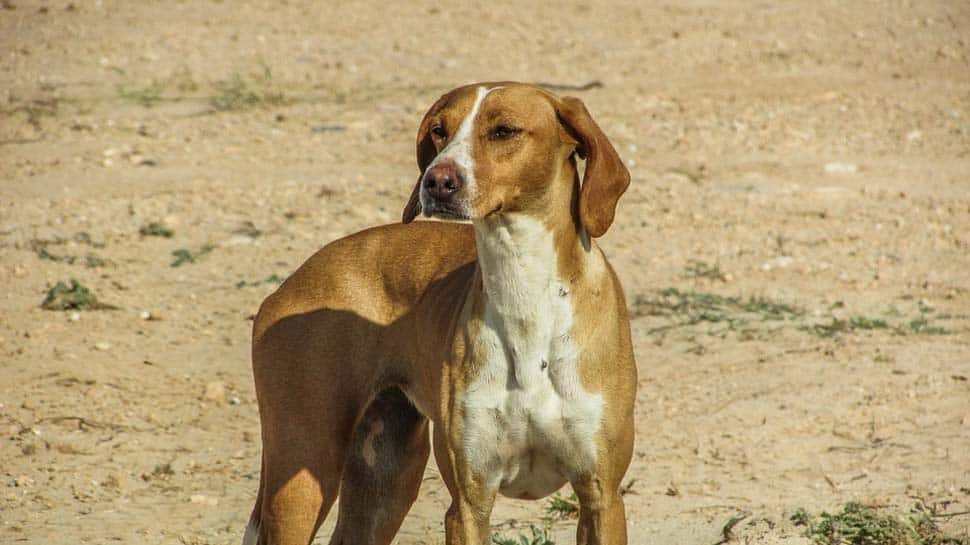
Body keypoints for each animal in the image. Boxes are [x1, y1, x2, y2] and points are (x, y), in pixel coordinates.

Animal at [242, 82, 636, 544]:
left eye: (503, 131)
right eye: (438, 131)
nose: (437, 180)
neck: (523, 289)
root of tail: (290, 283)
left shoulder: (601, 498)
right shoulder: (468, 503)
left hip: (384, 480)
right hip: (303, 472)